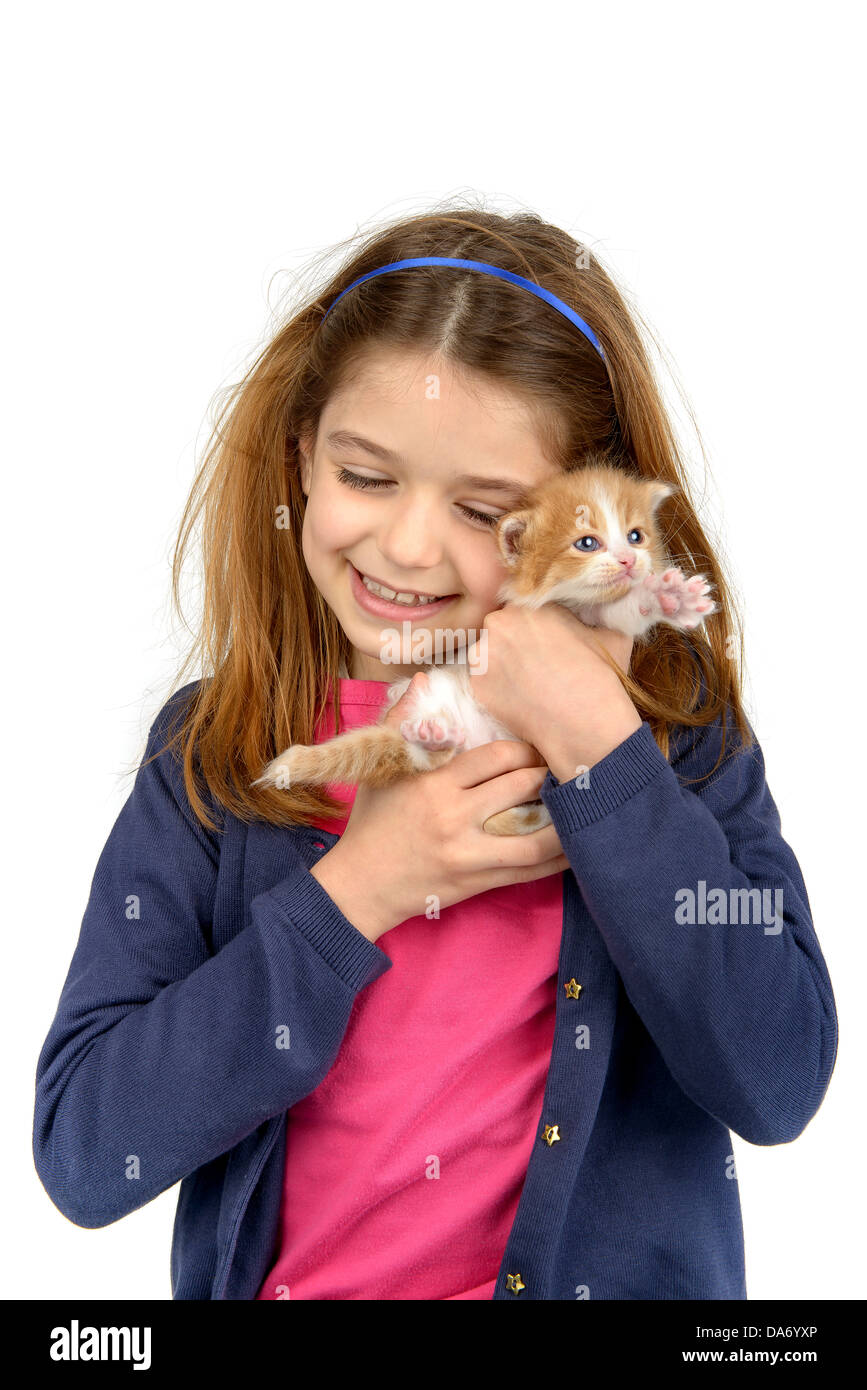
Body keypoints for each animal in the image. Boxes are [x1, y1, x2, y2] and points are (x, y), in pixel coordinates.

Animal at [254, 458, 716, 834]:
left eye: (637, 536)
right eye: (587, 543)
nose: (629, 561)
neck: (568, 603)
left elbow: (626, 608)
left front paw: (668, 597)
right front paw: (667, 596)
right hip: (431, 697)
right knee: (418, 762)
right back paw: (432, 741)